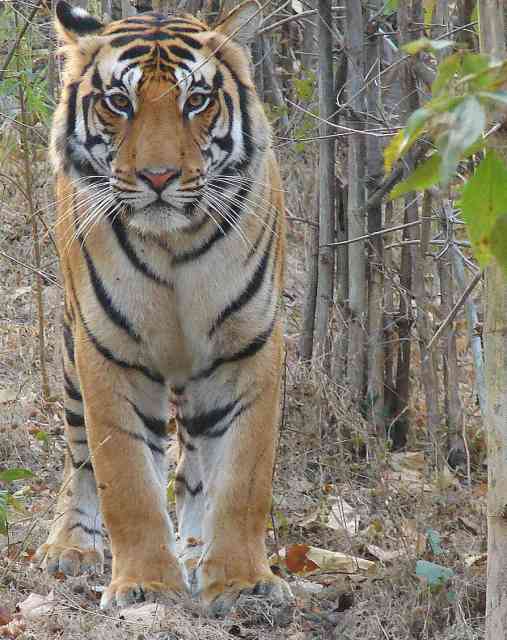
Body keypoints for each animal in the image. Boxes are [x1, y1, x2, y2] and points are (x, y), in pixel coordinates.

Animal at [33, 0, 292, 616]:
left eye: (195, 100)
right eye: (118, 102)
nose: (158, 177)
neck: (175, 243)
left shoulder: (248, 347)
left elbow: (243, 478)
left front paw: (241, 580)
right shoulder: (110, 353)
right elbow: (125, 481)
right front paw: (146, 585)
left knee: (193, 466)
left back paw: (196, 552)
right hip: (70, 352)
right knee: (79, 455)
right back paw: (70, 546)